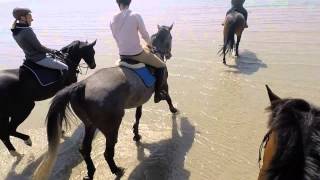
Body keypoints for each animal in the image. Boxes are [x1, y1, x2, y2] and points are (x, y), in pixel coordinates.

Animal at [33, 24, 178, 179]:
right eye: (171, 37)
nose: (169, 55)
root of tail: (82, 85)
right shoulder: (164, 85)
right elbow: (167, 97)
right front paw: (173, 110)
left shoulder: (140, 99)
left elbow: (138, 115)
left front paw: (136, 134)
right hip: (111, 126)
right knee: (108, 152)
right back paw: (116, 170)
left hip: (90, 125)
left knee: (85, 149)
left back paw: (91, 172)